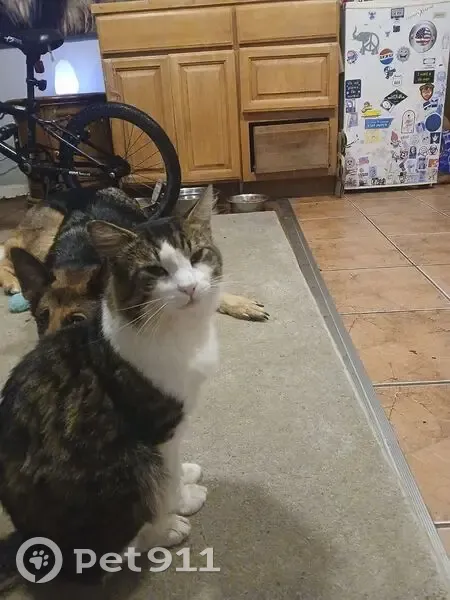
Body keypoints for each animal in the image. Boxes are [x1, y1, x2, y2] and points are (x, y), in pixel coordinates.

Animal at [0, 186, 220, 584]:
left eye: (197, 256)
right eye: (155, 270)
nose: (190, 288)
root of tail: (27, 537)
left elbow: (173, 468)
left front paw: (184, 475)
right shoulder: (156, 427)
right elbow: (165, 479)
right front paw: (181, 501)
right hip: (126, 466)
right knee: (103, 560)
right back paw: (165, 531)